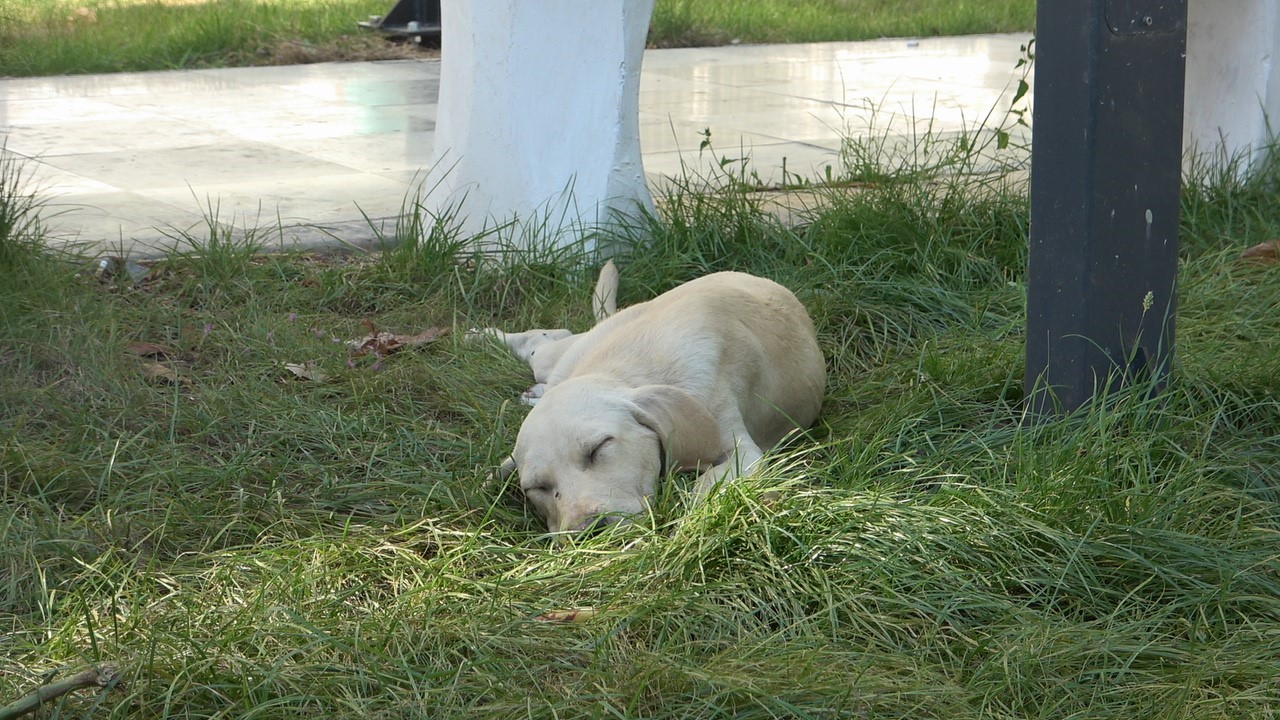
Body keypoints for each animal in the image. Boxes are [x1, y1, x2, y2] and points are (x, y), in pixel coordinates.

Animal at [476, 263, 824, 532]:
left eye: (600, 447)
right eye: (537, 487)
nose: (588, 534)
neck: (628, 366)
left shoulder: (743, 453)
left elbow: (704, 488)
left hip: (559, 357)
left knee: (550, 339)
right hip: (561, 360)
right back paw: (484, 338)